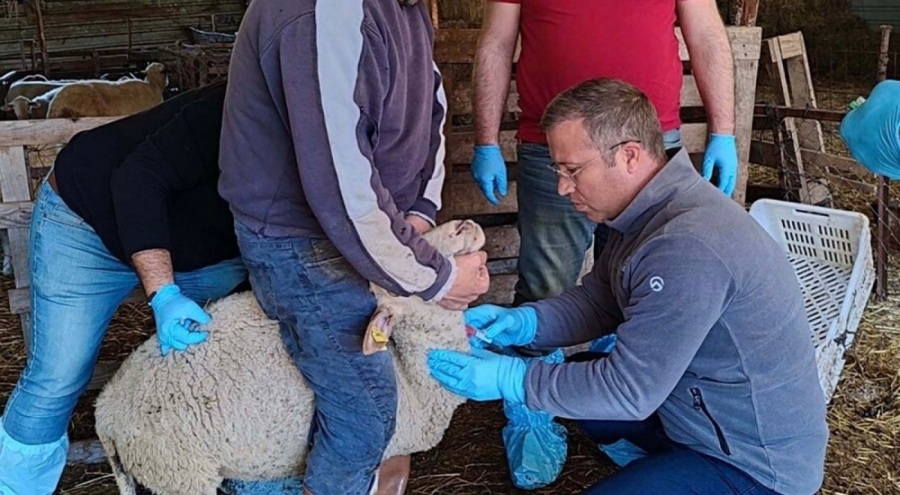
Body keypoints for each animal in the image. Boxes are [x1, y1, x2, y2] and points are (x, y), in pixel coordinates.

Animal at [96, 220, 488, 495]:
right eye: (397, 282)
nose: (463, 226)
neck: (410, 370)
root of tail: (107, 411)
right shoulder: (382, 457)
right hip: (181, 474)